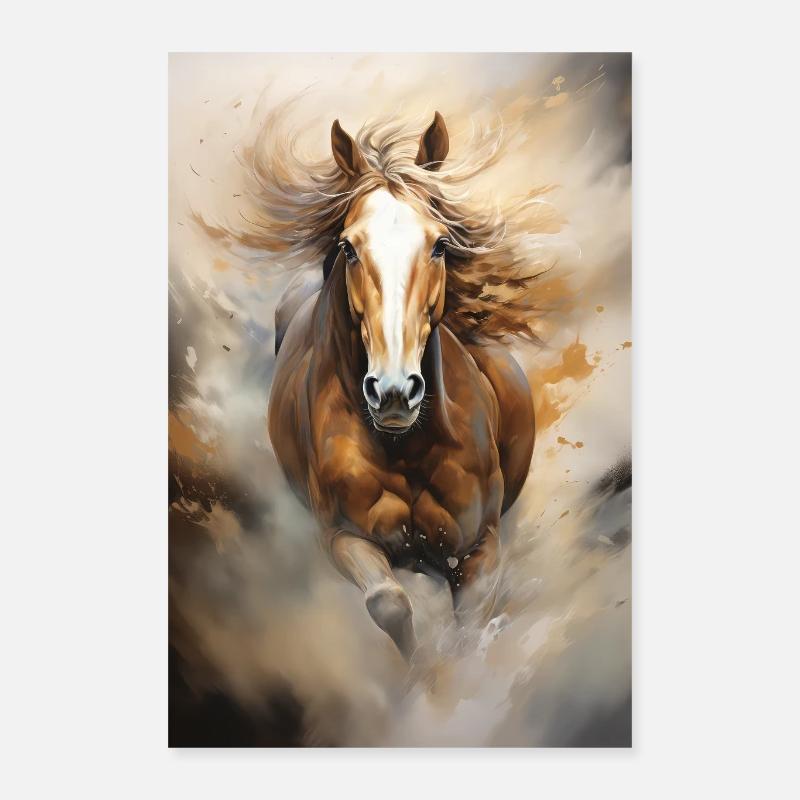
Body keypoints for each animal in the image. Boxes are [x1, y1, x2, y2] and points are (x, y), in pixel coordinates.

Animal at [266, 113, 537, 661]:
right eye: (349, 247)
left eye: (439, 244)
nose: (393, 392)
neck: (404, 446)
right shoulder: (343, 538)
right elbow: (388, 603)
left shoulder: (480, 549)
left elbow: (470, 633)